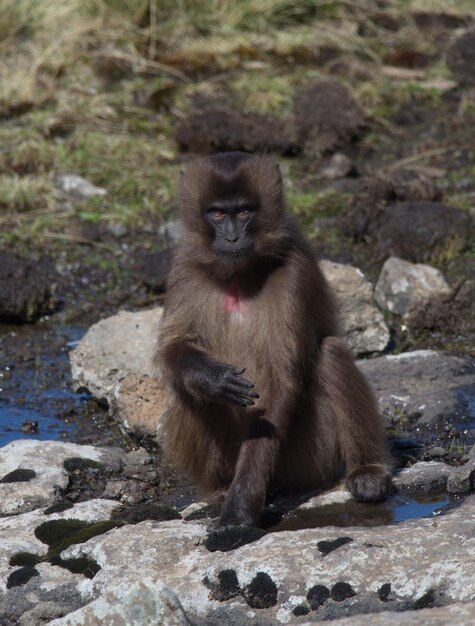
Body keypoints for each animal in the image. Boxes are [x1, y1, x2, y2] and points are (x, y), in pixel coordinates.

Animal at [156, 150, 390, 532]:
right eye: (217, 213)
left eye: (244, 211)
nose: (232, 239)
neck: (237, 276)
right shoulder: (183, 268)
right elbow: (174, 349)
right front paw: (213, 378)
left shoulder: (293, 272)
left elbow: (279, 381)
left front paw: (240, 510)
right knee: (186, 389)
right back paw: (221, 487)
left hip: (304, 459)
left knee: (330, 353)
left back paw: (367, 472)